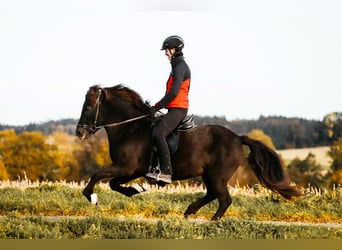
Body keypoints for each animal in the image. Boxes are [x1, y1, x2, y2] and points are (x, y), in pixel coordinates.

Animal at [76, 85, 300, 220]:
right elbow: (113, 183)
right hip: (210, 175)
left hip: (217, 175)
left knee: (224, 199)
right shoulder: (131, 170)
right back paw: (189, 211)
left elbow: (97, 176)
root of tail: (237, 138)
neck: (129, 128)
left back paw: (212, 221)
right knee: (213, 194)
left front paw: (91, 196)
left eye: (88, 107)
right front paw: (135, 190)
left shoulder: (125, 167)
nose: (79, 132)